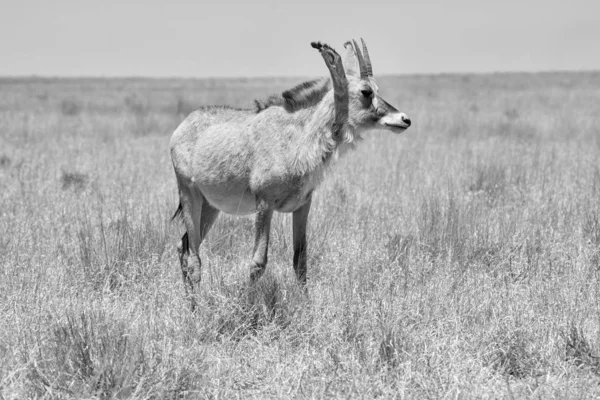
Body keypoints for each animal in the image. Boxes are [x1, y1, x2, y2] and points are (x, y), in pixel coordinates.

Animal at [171, 39, 410, 308]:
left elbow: (300, 259)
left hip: (211, 207)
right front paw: (247, 306)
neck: (298, 136)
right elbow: (258, 262)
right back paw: (195, 309)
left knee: (184, 246)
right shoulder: (264, 205)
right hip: (189, 194)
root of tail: (181, 128)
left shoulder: (302, 206)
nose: (404, 119)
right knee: (193, 257)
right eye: (366, 92)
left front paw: (307, 307)